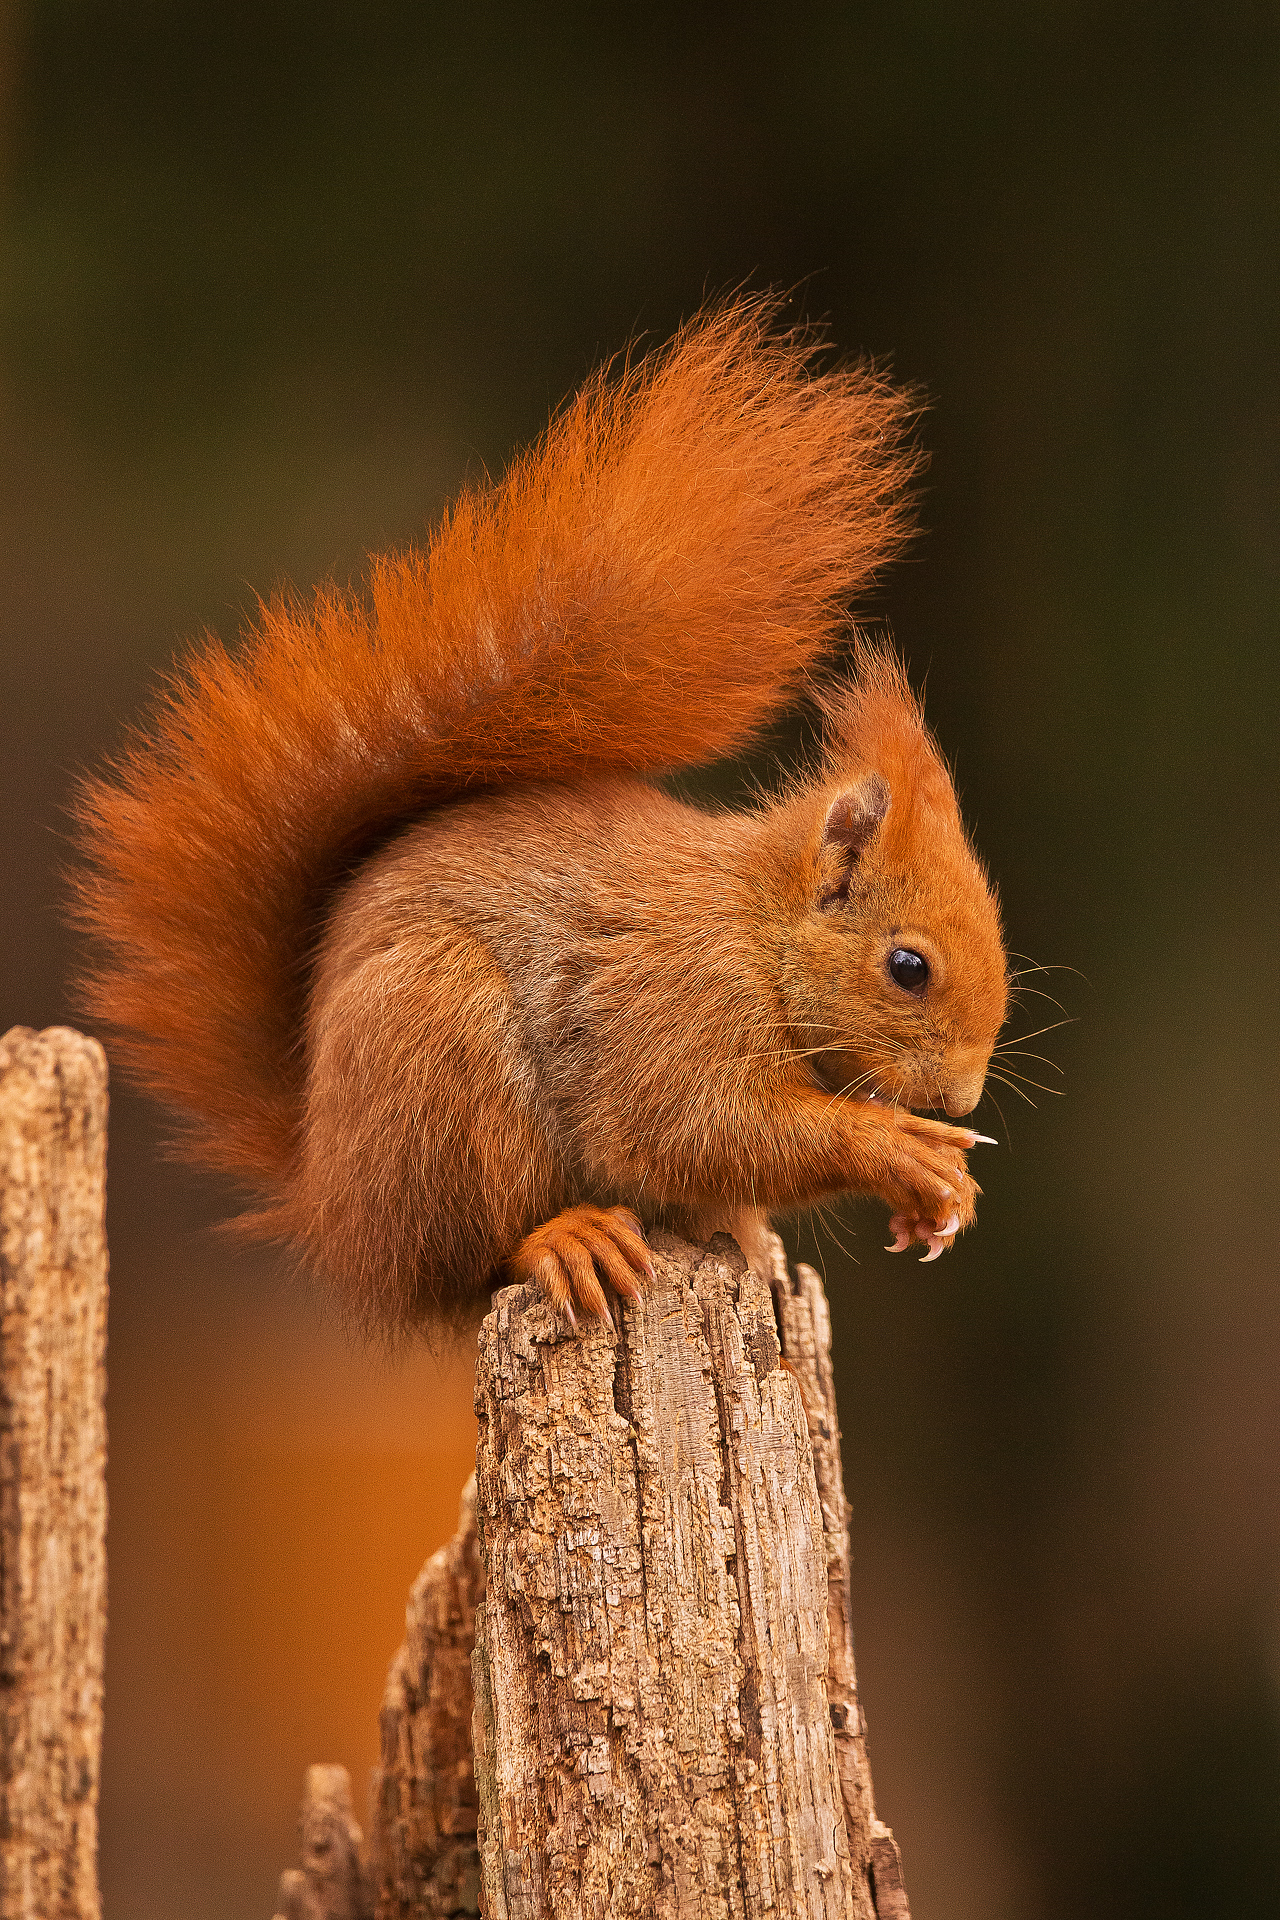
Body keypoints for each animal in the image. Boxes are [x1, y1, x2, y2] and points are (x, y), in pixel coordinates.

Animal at [72, 295, 1008, 1342]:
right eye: (908, 967)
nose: (959, 1096)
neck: (757, 927)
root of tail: (327, 1198)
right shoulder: (670, 1002)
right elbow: (696, 1126)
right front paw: (902, 1148)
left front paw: (939, 1199)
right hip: (437, 1051)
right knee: (471, 1257)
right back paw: (566, 1238)